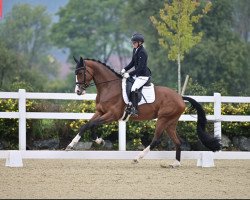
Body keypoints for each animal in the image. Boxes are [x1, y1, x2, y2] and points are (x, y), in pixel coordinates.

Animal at [65, 56, 221, 167]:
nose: (78, 91)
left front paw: (98, 141)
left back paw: (137, 158)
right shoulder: (100, 112)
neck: (109, 87)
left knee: (156, 139)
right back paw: (175, 163)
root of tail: (180, 97)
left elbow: (91, 125)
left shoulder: (112, 115)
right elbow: (86, 125)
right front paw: (72, 145)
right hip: (170, 122)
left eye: (80, 72)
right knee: (178, 141)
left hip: (163, 119)